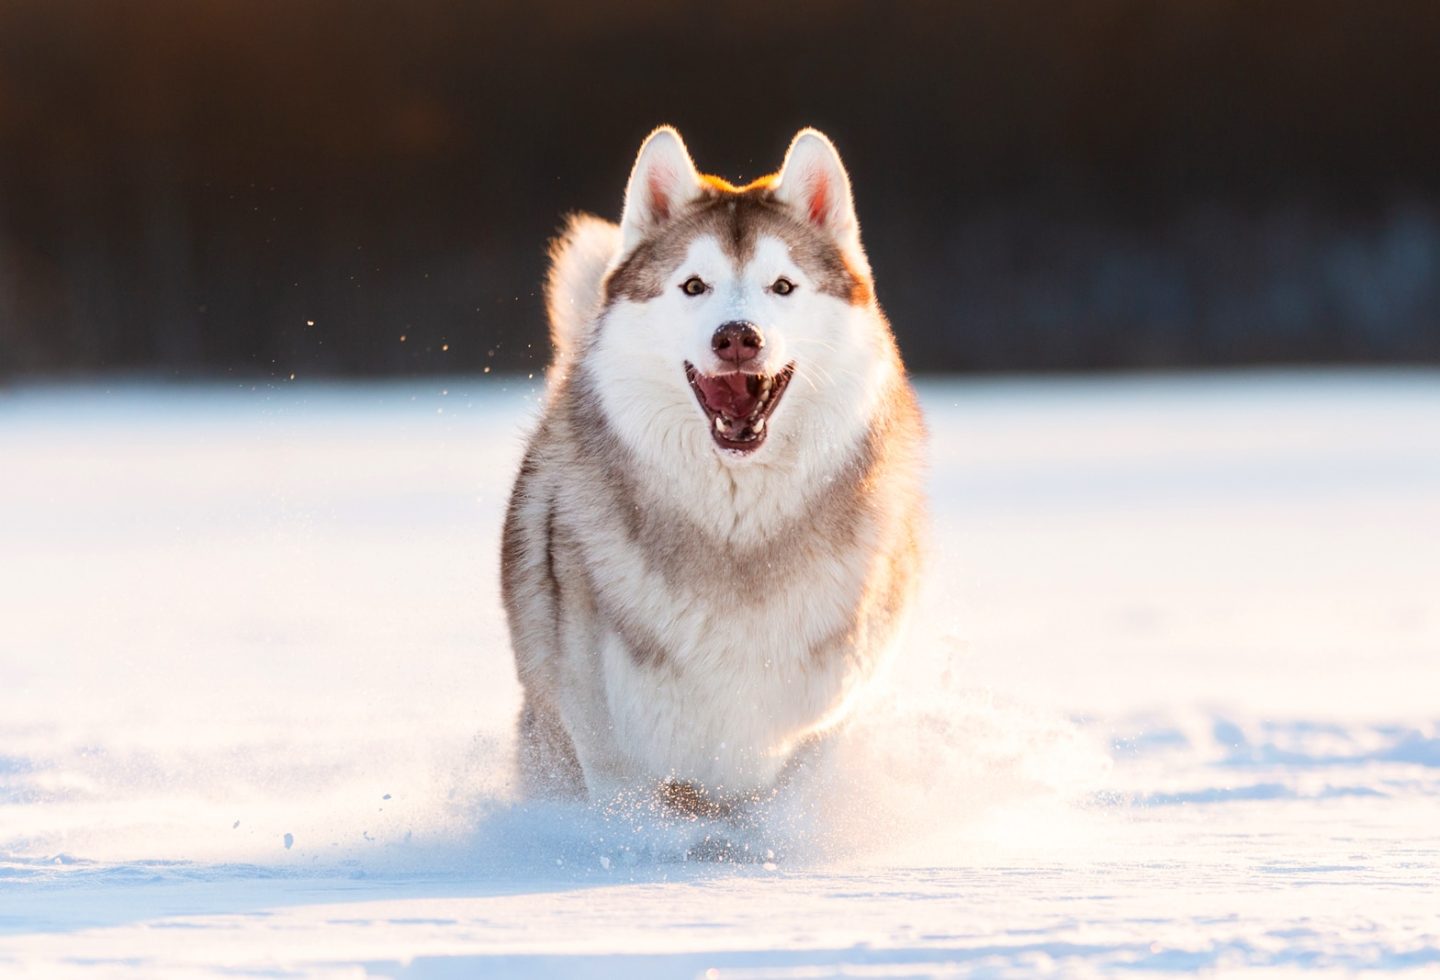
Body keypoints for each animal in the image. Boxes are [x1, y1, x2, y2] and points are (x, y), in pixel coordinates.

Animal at [501, 124, 921, 811]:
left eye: (783, 286)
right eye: (694, 286)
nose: (738, 337)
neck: (737, 540)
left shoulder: (822, 722)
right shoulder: (617, 755)